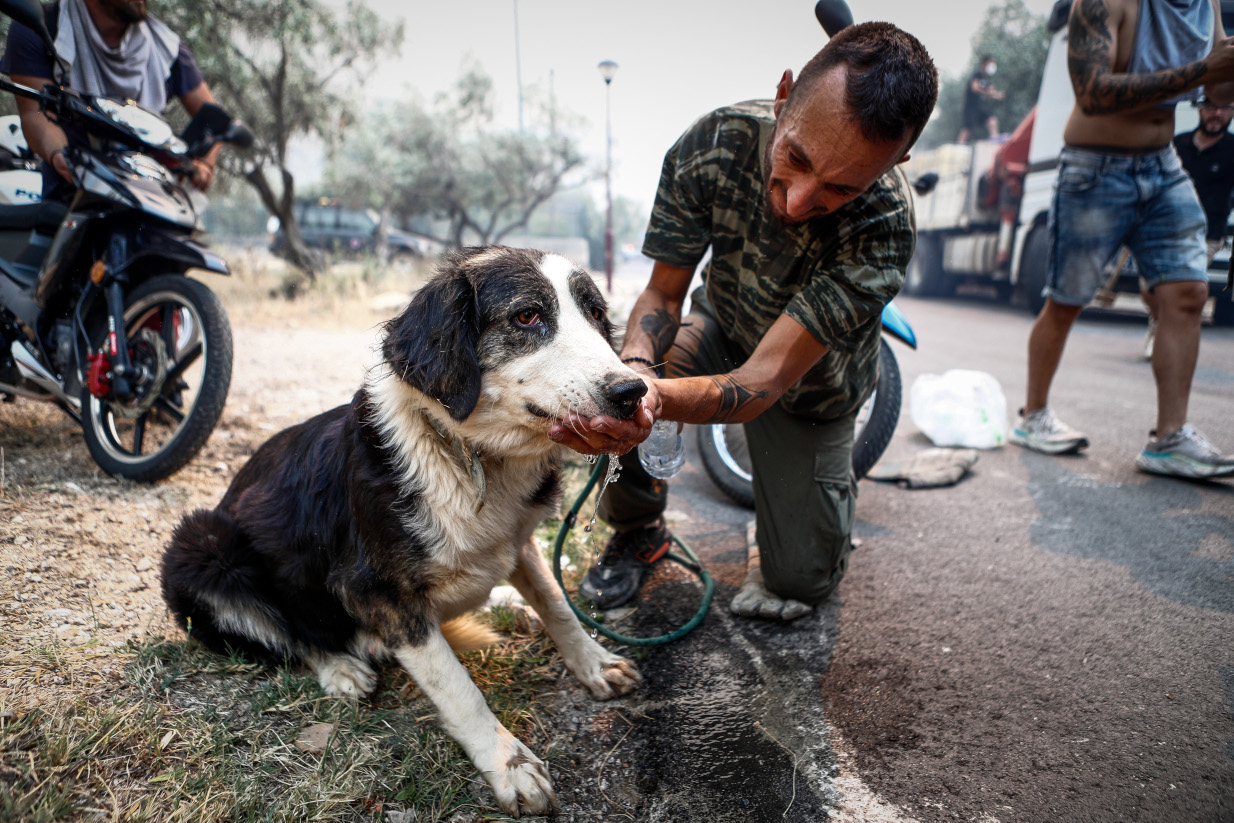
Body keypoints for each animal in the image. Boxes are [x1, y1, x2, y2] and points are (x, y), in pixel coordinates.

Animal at [160, 246, 651, 819]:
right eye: (528, 316)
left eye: (596, 315)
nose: (632, 391)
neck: (470, 456)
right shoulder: (373, 591)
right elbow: (459, 687)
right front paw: (509, 764)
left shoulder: (519, 540)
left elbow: (557, 604)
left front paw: (594, 662)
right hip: (201, 546)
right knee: (289, 632)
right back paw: (341, 668)